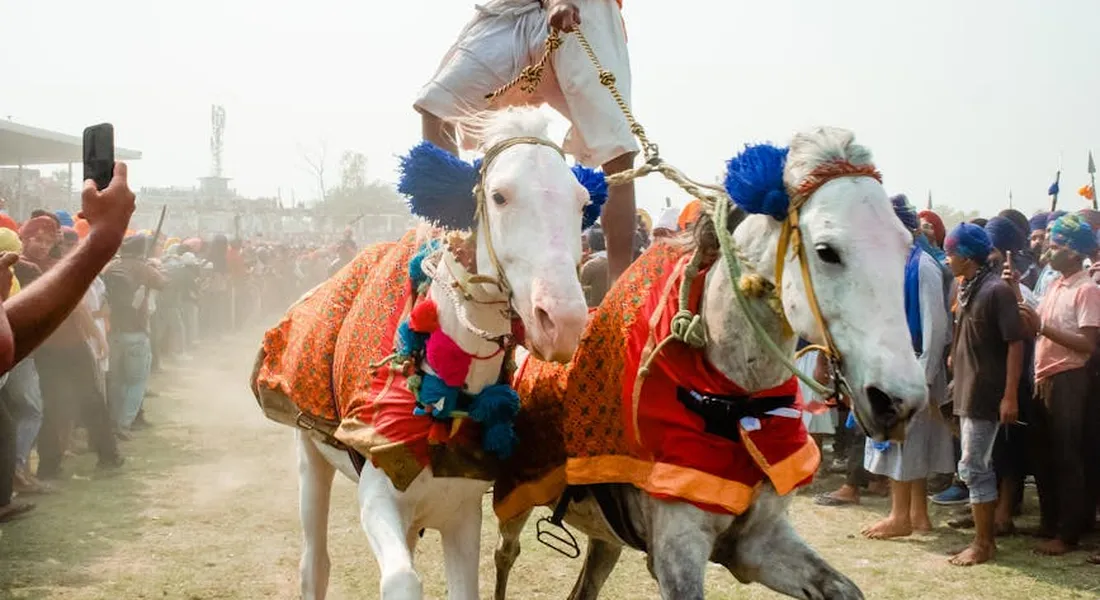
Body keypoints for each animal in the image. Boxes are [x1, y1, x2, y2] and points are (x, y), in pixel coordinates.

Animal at [251, 107, 600, 600]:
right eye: (499, 196)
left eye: (582, 203)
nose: (563, 320)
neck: (443, 400)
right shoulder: (378, 495)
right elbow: (401, 580)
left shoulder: (462, 512)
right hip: (309, 452)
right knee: (314, 563)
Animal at [492, 127, 928, 600]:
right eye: (827, 251)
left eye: (905, 246)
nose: (898, 401)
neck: (735, 404)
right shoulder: (676, 551)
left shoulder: (759, 542)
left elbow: (844, 589)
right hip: (514, 499)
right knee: (505, 553)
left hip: (605, 536)